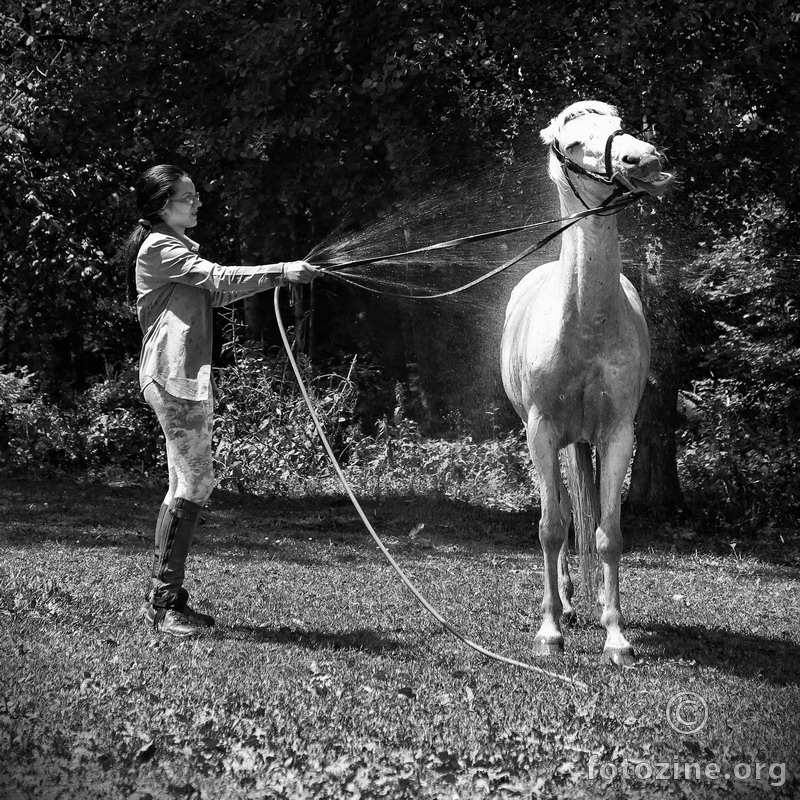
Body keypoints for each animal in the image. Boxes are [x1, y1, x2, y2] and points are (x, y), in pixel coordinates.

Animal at [504, 98, 672, 664]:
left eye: (617, 122)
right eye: (575, 142)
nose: (642, 158)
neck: (584, 321)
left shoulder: (619, 434)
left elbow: (609, 533)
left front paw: (616, 635)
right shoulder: (541, 433)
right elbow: (551, 528)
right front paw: (550, 629)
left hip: (587, 440)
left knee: (591, 513)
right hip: (554, 441)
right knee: (560, 514)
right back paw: (566, 602)